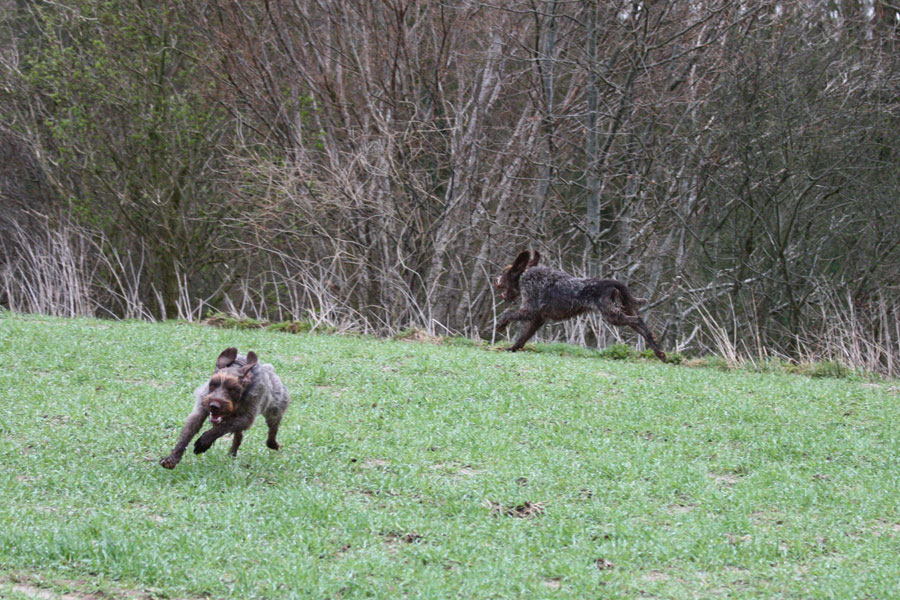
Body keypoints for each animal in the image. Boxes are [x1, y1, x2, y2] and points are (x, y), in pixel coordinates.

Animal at [160, 346, 290, 468]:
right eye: (213, 384)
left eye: (233, 389)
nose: (214, 406)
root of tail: (270, 368)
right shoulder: (200, 410)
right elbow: (186, 435)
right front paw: (172, 458)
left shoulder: (247, 417)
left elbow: (221, 428)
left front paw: (204, 442)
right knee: (239, 435)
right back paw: (232, 453)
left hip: (274, 411)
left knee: (272, 431)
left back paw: (273, 444)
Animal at [496, 250, 664, 360]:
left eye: (503, 274)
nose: (496, 280)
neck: (524, 276)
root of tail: (612, 283)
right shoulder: (539, 318)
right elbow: (523, 337)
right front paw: (513, 348)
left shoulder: (529, 310)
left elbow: (507, 315)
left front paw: (501, 325)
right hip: (622, 311)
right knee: (641, 326)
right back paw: (659, 352)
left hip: (612, 316)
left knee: (639, 321)